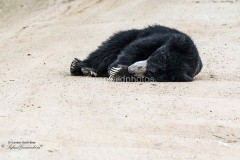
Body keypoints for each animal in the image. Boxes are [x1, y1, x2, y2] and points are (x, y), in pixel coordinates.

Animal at [70, 25, 202, 82]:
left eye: (151, 73)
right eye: (152, 57)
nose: (132, 68)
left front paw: (119, 72)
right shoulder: (162, 37)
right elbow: (136, 47)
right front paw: (115, 67)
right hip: (129, 34)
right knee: (108, 49)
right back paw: (81, 67)